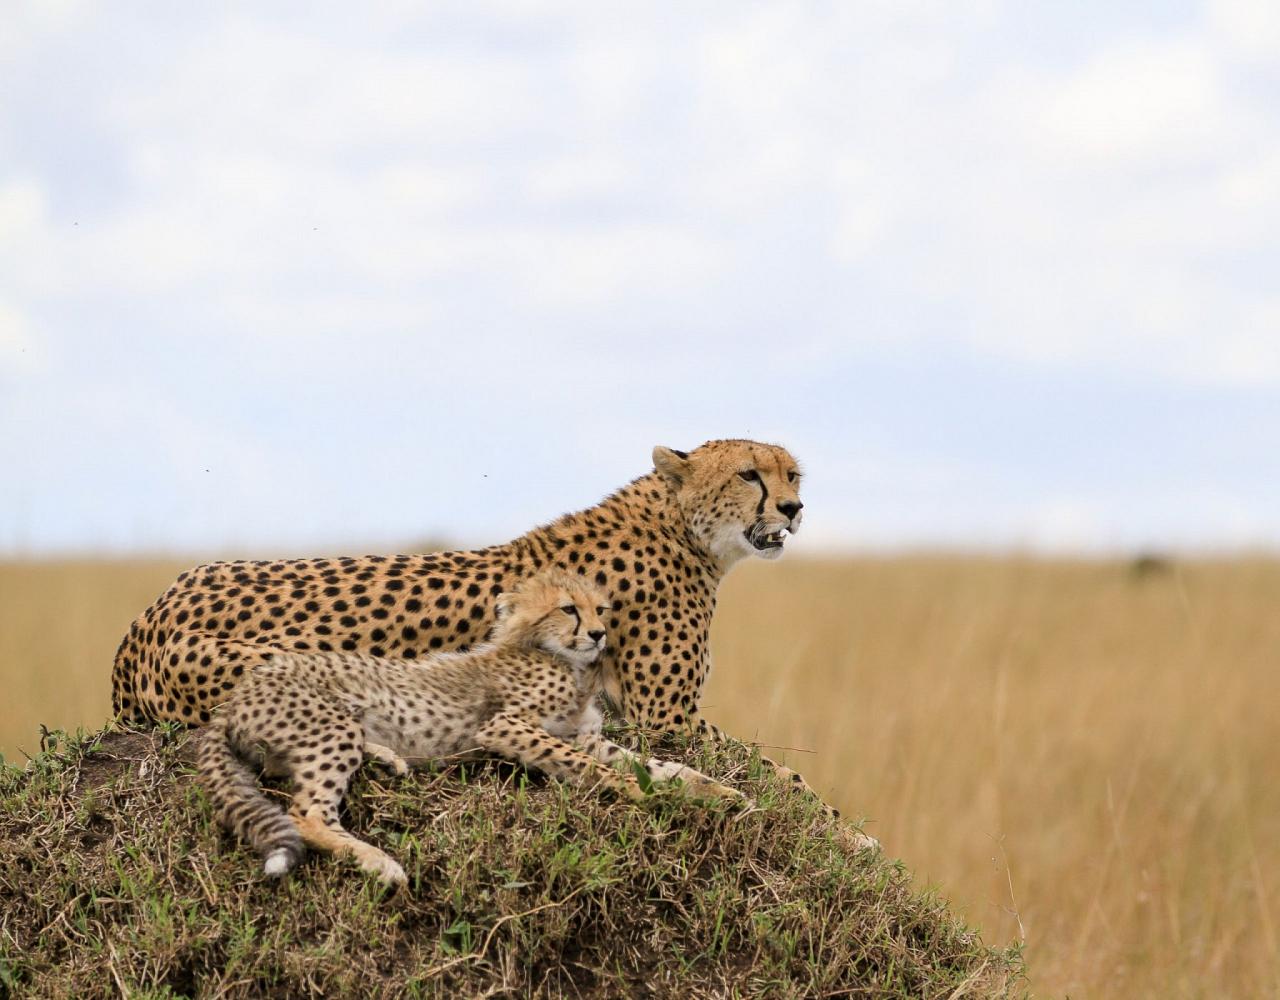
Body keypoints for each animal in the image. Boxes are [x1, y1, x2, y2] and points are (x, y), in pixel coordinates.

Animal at [197, 565, 742, 886]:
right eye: (568, 608)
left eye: (601, 608)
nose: (599, 633)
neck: (561, 659)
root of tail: (236, 695)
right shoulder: (506, 726)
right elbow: (601, 771)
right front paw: (639, 795)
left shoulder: (586, 737)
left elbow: (660, 766)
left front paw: (718, 791)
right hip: (327, 728)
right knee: (307, 813)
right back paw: (379, 862)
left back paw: (388, 758)